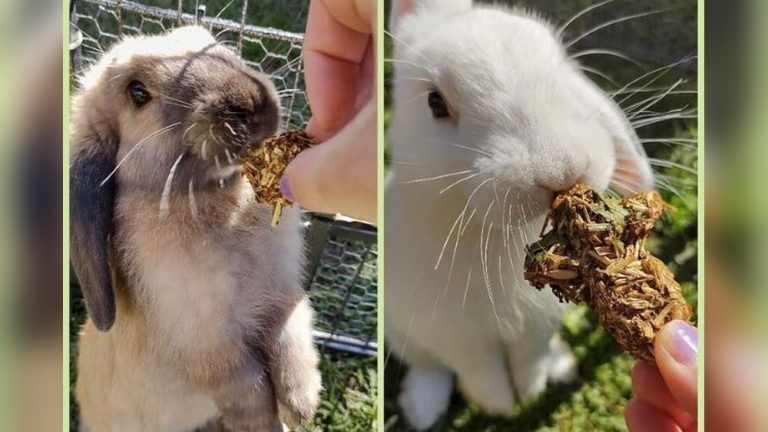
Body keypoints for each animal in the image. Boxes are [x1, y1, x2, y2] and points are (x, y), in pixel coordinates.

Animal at [70, 26, 322, 432]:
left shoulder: (282, 295)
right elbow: (246, 382)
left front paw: (301, 406)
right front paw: (265, 422)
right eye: (137, 93)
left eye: (213, 41)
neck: (216, 196)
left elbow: (291, 339)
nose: (249, 102)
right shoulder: (205, 341)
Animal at [385, 0, 655, 429]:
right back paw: (421, 410)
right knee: (429, 368)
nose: (561, 169)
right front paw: (501, 404)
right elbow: (480, 372)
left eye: (562, 64)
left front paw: (529, 391)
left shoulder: (538, 325)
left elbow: (530, 358)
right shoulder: (456, 335)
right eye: (435, 103)